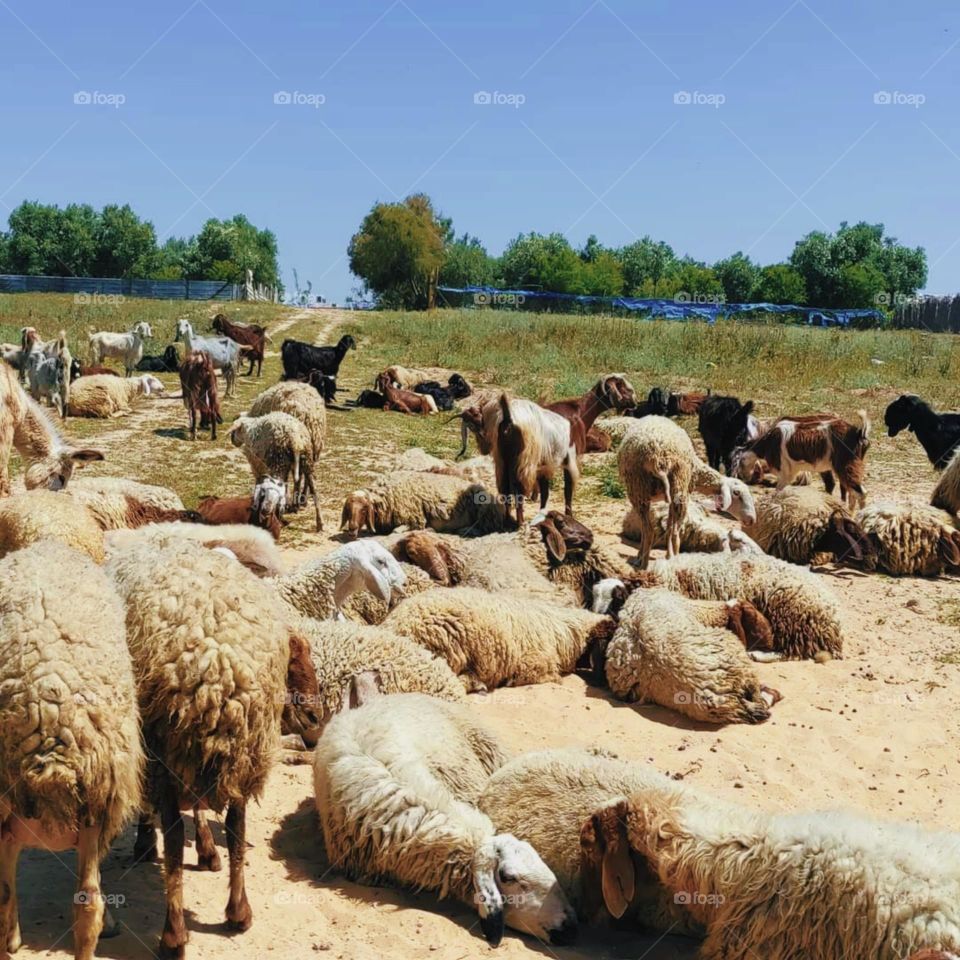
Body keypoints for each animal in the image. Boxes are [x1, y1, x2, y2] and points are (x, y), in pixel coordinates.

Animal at [107, 538, 313, 958]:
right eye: (298, 668)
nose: (314, 720)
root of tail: (215, 661)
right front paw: (204, 850)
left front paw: (155, 842)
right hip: (240, 751)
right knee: (236, 825)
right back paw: (237, 912)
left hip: (170, 746)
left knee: (175, 834)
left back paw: (175, 933)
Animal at [339, 470, 505, 538]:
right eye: (348, 510)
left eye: (363, 510)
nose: (352, 530)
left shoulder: (415, 519)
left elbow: (398, 531)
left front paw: (428, 529)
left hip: (483, 507)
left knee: (487, 528)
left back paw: (466, 530)